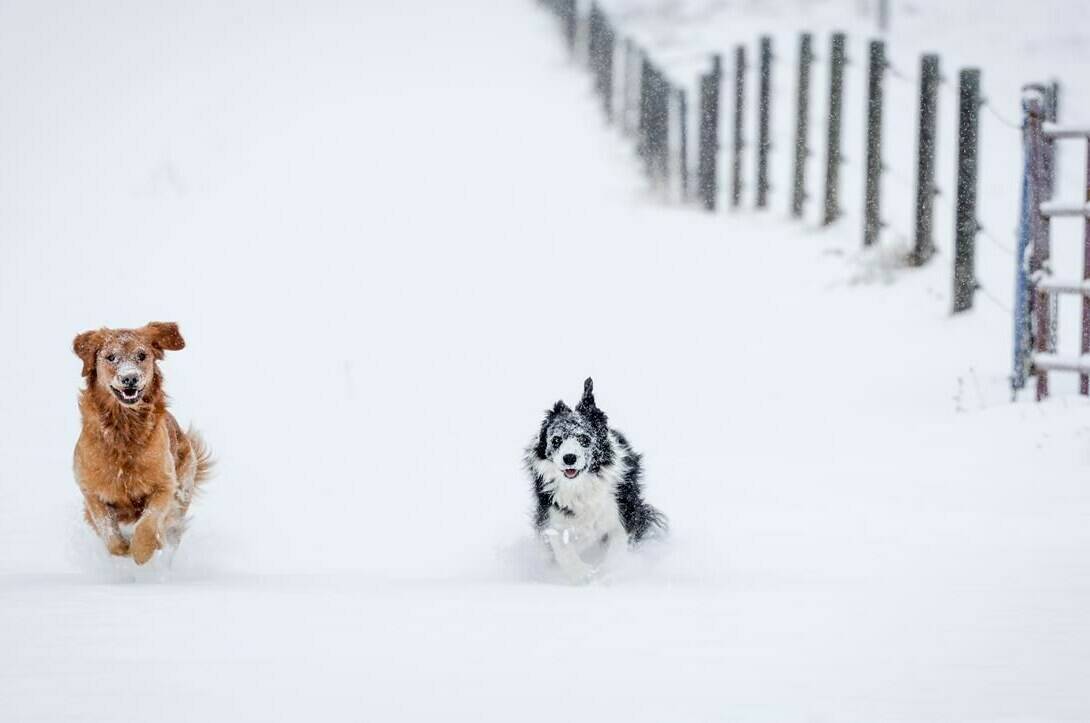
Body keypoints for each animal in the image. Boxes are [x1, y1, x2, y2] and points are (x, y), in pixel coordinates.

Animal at [525, 379, 667, 584]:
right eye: (556, 440)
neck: (582, 484)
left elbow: (618, 545)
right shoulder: (551, 512)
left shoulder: (624, 509)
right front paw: (581, 574)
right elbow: (562, 545)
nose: (569, 458)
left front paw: (608, 573)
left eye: (584, 438)